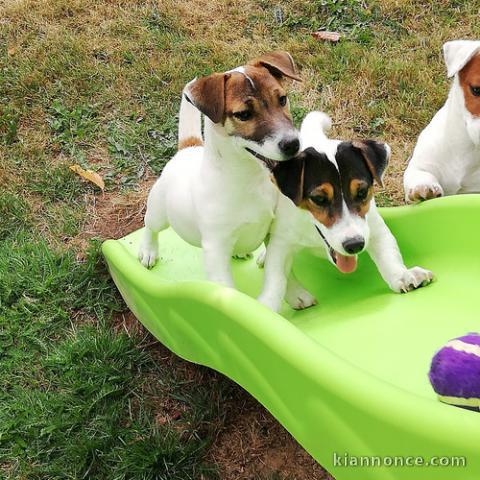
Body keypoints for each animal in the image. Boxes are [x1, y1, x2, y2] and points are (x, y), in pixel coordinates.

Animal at [139, 54, 302, 290]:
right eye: (244, 114)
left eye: (282, 99)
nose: (293, 144)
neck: (249, 180)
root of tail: (189, 147)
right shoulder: (216, 249)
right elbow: (227, 289)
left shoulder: (274, 228)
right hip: (159, 212)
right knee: (150, 225)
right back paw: (148, 250)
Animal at [256, 114, 434, 314]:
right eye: (319, 198)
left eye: (362, 192)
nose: (355, 245)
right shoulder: (282, 242)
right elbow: (276, 278)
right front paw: (266, 307)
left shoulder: (373, 229)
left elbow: (389, 254)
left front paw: (403, 275)